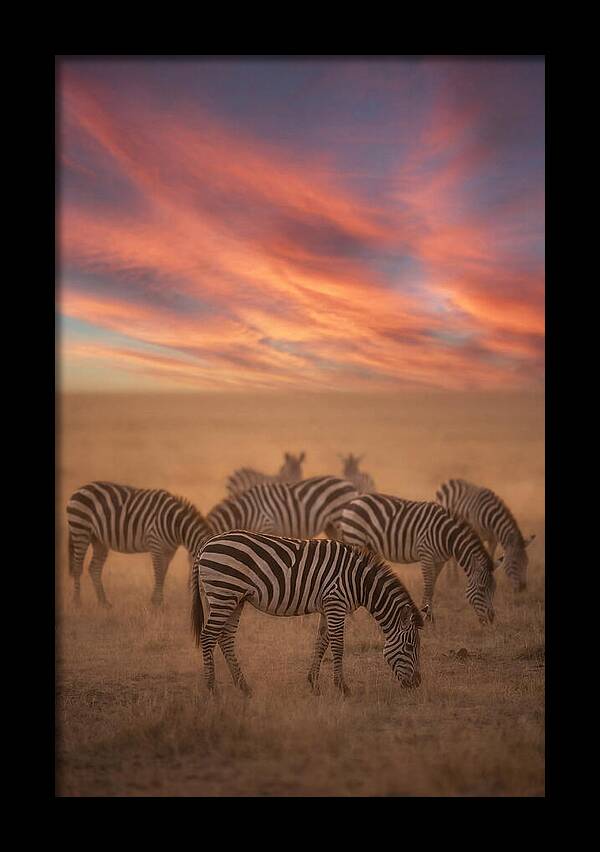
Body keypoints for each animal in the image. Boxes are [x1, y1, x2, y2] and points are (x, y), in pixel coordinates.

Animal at [67, 481, 214, 608]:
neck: (175, 525)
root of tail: (80, 488)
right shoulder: (155, 543)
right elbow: (158, 573)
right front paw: (157, 603)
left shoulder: (169, 550)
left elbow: (163, 573)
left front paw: (156, 601)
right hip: (80, 529)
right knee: (78, 567)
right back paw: (77, 602)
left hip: (99, 540)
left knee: (94, 568)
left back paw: (104, 603)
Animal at [191, 530, 424, 696]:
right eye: (410, 646)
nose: (416, 684)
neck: (359, 582)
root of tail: (206, 545)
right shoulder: (336, 603)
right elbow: (338, 645)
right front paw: (343, 687)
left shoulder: (327, 606)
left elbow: (321, 642)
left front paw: (314, 684)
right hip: (223, 593)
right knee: (208, 636)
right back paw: (212, 688)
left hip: (234, 598)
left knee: (225, 637)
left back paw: (244, 687)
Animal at [338, 493, 496, 625]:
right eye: (482, 588)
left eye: (493, 589)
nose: (491, 619)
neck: (447, 535)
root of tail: (353, 501)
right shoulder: (426, 554)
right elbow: (428, 585)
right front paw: (427, 616)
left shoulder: (440, 561)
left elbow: (432, 586)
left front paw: (430, 616)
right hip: (356, 537)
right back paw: (351, 617)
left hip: (369, 546)